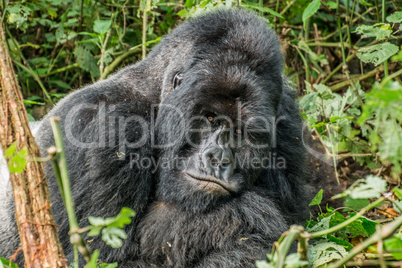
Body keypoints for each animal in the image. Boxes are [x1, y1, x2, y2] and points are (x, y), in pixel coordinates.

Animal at [0, 7, 308, 266]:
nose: (219, 159)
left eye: (246, 133)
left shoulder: (288, 123)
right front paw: (247, 216)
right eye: (210, 118)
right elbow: (99, 258)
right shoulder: (103, 126)